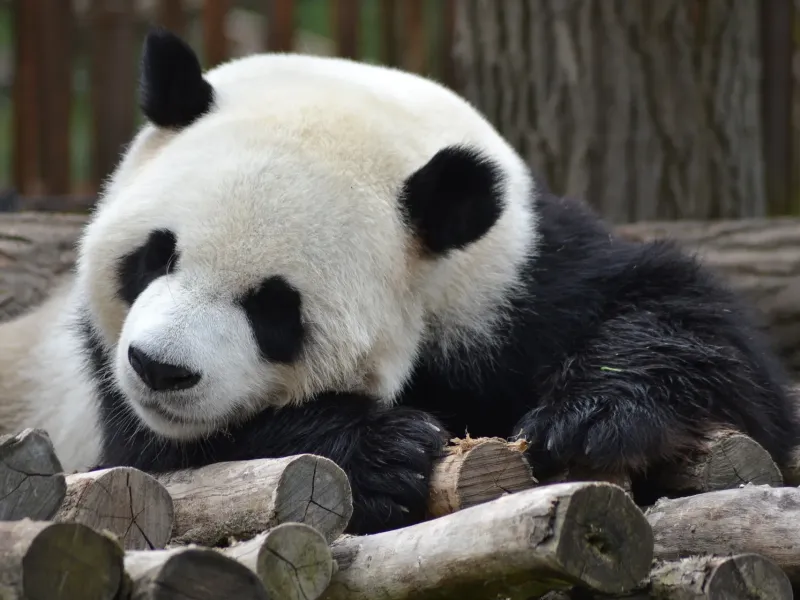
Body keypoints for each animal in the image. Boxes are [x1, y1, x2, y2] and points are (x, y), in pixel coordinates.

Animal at [1, 29, 800, 536]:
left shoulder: (517, 278)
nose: (159, 369)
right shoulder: (103, 400)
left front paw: (594, 417)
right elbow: (165, 458)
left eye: (274, 308)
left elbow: (701, 332)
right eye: (154, 256)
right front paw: (387, 451)